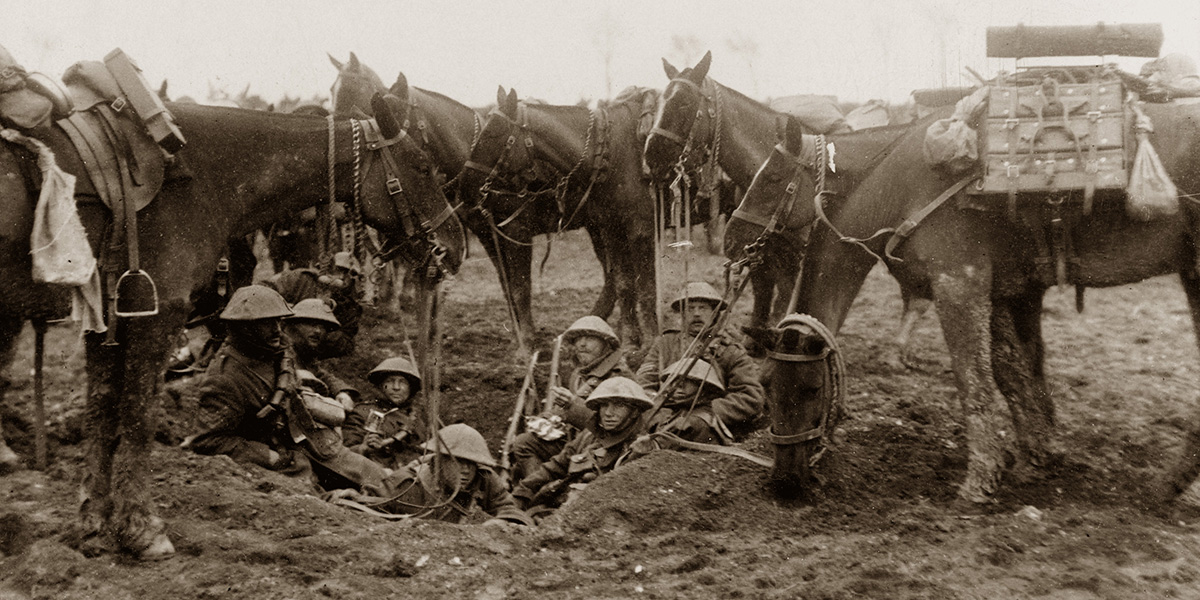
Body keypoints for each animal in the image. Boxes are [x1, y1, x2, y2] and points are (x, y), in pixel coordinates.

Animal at [0, 92, 463, 556]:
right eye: (422, 166)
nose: (454, 247)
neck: (201, 174)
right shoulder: (156, 317)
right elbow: (138, 415)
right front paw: (142, 528)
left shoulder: (108, 322)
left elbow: (101, 412)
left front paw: (93, 525)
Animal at [456, 87, 662, 348]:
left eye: (495, 132)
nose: (465, 185)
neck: (612, 150)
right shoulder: (491, 236)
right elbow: (508, 287)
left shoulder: (639, 227)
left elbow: (520, 289)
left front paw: (526, 341)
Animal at [643, 52, 931, 364]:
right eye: (660, 103)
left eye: (683, 102)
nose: (651, 155)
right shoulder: (759, 247)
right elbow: (762, 287)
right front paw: (755, 337)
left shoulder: (795, 255)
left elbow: (785, 294)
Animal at [734, 92, 1200, 506]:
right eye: (768, 387)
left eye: (812, 388)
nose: (785, 483)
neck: (906, 184)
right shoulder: (1002, 291)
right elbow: (1012, 371)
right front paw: (1036, 455)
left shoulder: (959, 284)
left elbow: (972, 377)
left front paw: (982, 478)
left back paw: (1169, 484)